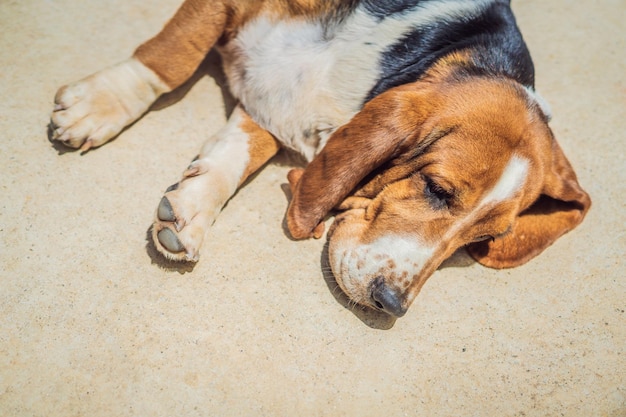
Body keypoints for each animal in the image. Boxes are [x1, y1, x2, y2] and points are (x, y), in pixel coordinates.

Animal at [50, 0, 588, 316]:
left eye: (483, 239)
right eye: (437, 189)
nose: (391, 305)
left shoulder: (274, 106)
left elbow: (240, 152)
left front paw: (192, 209)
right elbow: (172, 59)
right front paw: (102, 104)